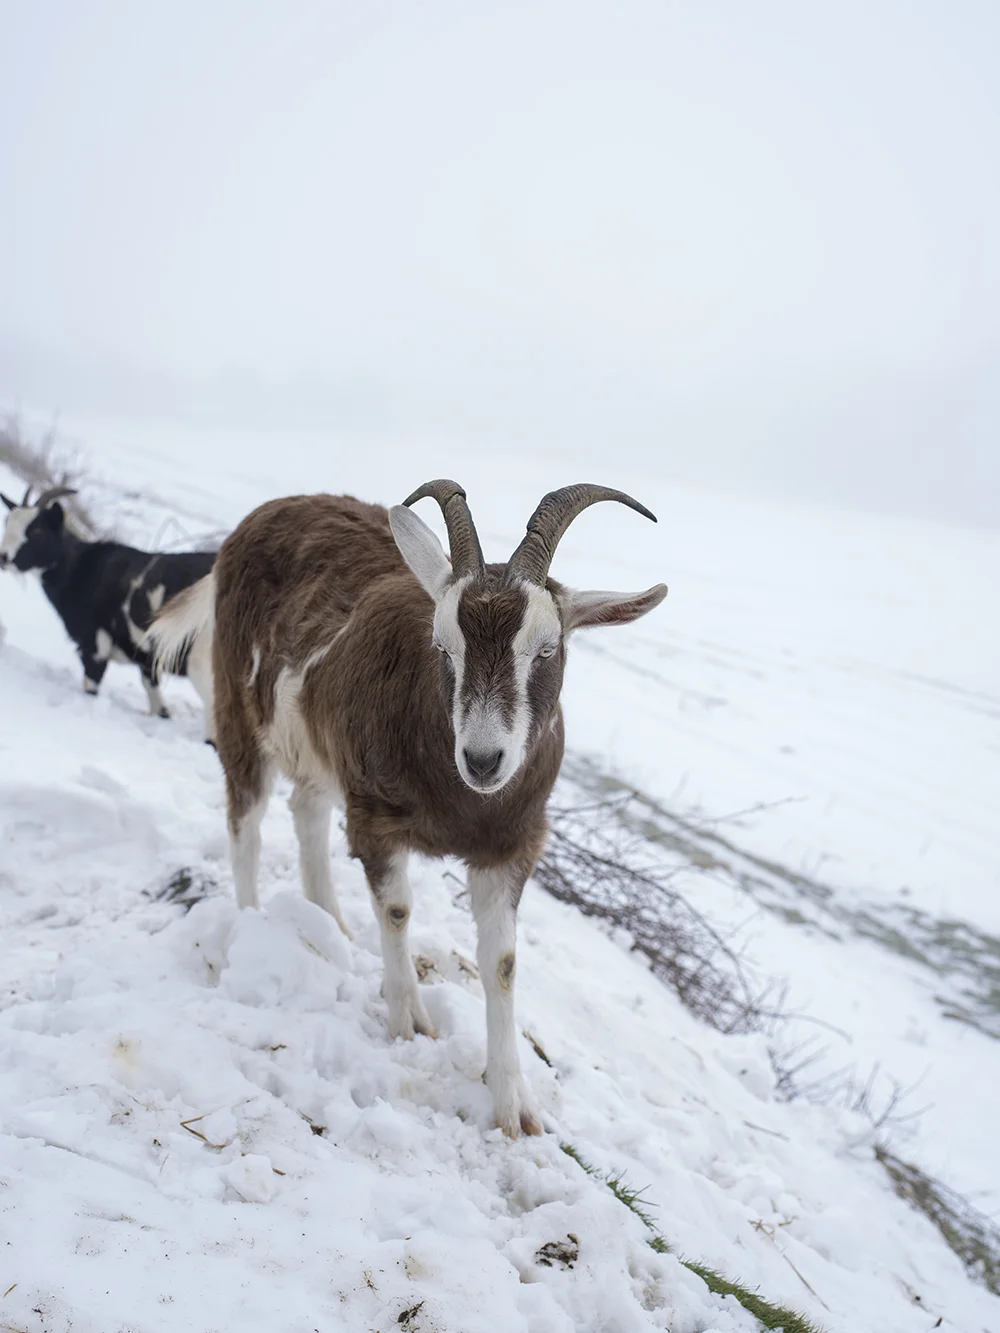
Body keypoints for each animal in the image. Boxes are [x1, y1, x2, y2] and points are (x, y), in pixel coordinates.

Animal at [0, 485, 216, 738]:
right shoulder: (147, 661)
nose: (3, 557)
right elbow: (157, 703)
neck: (84, 569)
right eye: (7, 522)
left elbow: (91, 687)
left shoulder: (95, 646)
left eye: (36, 532)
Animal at [149, 480, 667, 1135]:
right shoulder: (376, 816)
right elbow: (396, 910)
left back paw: (331, 924)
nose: (483, 760)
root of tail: (272, 509)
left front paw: (514, 1107)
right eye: (443, 646)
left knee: (305, 809)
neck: (462, 801)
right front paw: (408, 1022)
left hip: (317, 746)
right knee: (247, 817)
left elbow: (502, 963)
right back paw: (250, 920)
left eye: (547, 650)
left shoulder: (511, 845)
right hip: (240, 704)